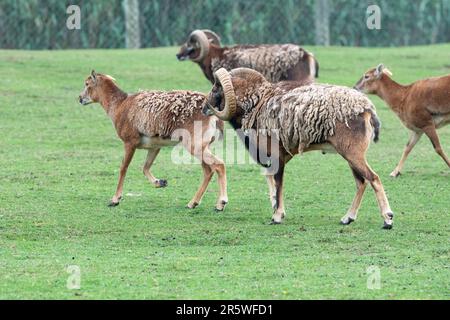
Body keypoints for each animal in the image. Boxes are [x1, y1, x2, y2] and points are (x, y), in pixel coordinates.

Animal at [77, 70, 229, 210]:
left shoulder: (129, 143)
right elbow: (145, 167)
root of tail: (213, 115)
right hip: (203, 146)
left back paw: (220, 203)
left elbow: (123, 168)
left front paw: (115, 200)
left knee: (218, 165)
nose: (80, 98)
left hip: (194, 146)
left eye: (87, 84)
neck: (120, 105)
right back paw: (192, 203)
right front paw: (160, 182)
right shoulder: (155, 147)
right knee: (208, 171)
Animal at [204, 67, 394, 229]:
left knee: (373, 178)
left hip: (354, 155)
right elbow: (272, 181)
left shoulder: (277, 156)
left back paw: (387, 220)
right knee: (361, 182)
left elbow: (278, 182)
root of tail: (367, 109)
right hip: (351, 157)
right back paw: (347, 218)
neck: (257, 103)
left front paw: (277, 217)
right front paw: (277, 210)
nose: (205, 107)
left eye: (216, 88)